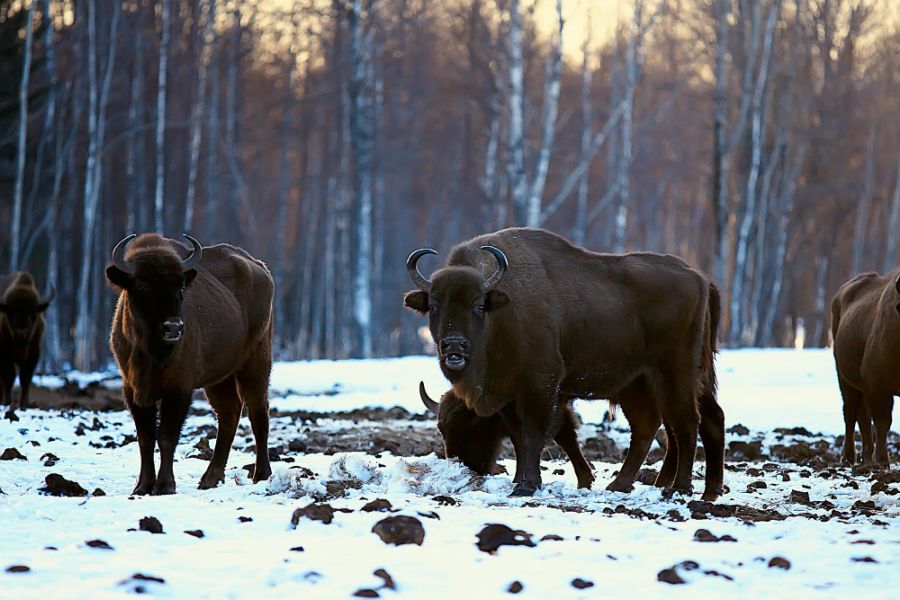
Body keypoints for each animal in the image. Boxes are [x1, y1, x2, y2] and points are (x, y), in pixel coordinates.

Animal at [0, 272, 54, 412]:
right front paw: (7, 402)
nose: (22, 333)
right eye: (10, 312)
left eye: (33, 313)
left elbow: (25, 378)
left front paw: (24, 404)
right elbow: (9, 376)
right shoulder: (5, 355)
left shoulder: (33, 356)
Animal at [106, 232, 274, 494]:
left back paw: (261, 474)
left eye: (180, 287)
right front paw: (142, 487)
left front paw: (165, 485)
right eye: (142, 286)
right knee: (229, 414)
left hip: (256, 362)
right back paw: (210, 478)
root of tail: (260, 268)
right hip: (220, 378)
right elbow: (145, 437)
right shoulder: (133, 389)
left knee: (258, 412)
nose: (173, 327)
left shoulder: (179, 388)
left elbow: (166, 436)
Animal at [828, 270, 900, 466]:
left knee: (862, 416)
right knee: (851, 414)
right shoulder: (878, 384)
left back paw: (866, 456)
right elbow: (883, 421)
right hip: (845, 380)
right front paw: (882, 460)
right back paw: (848, 457)